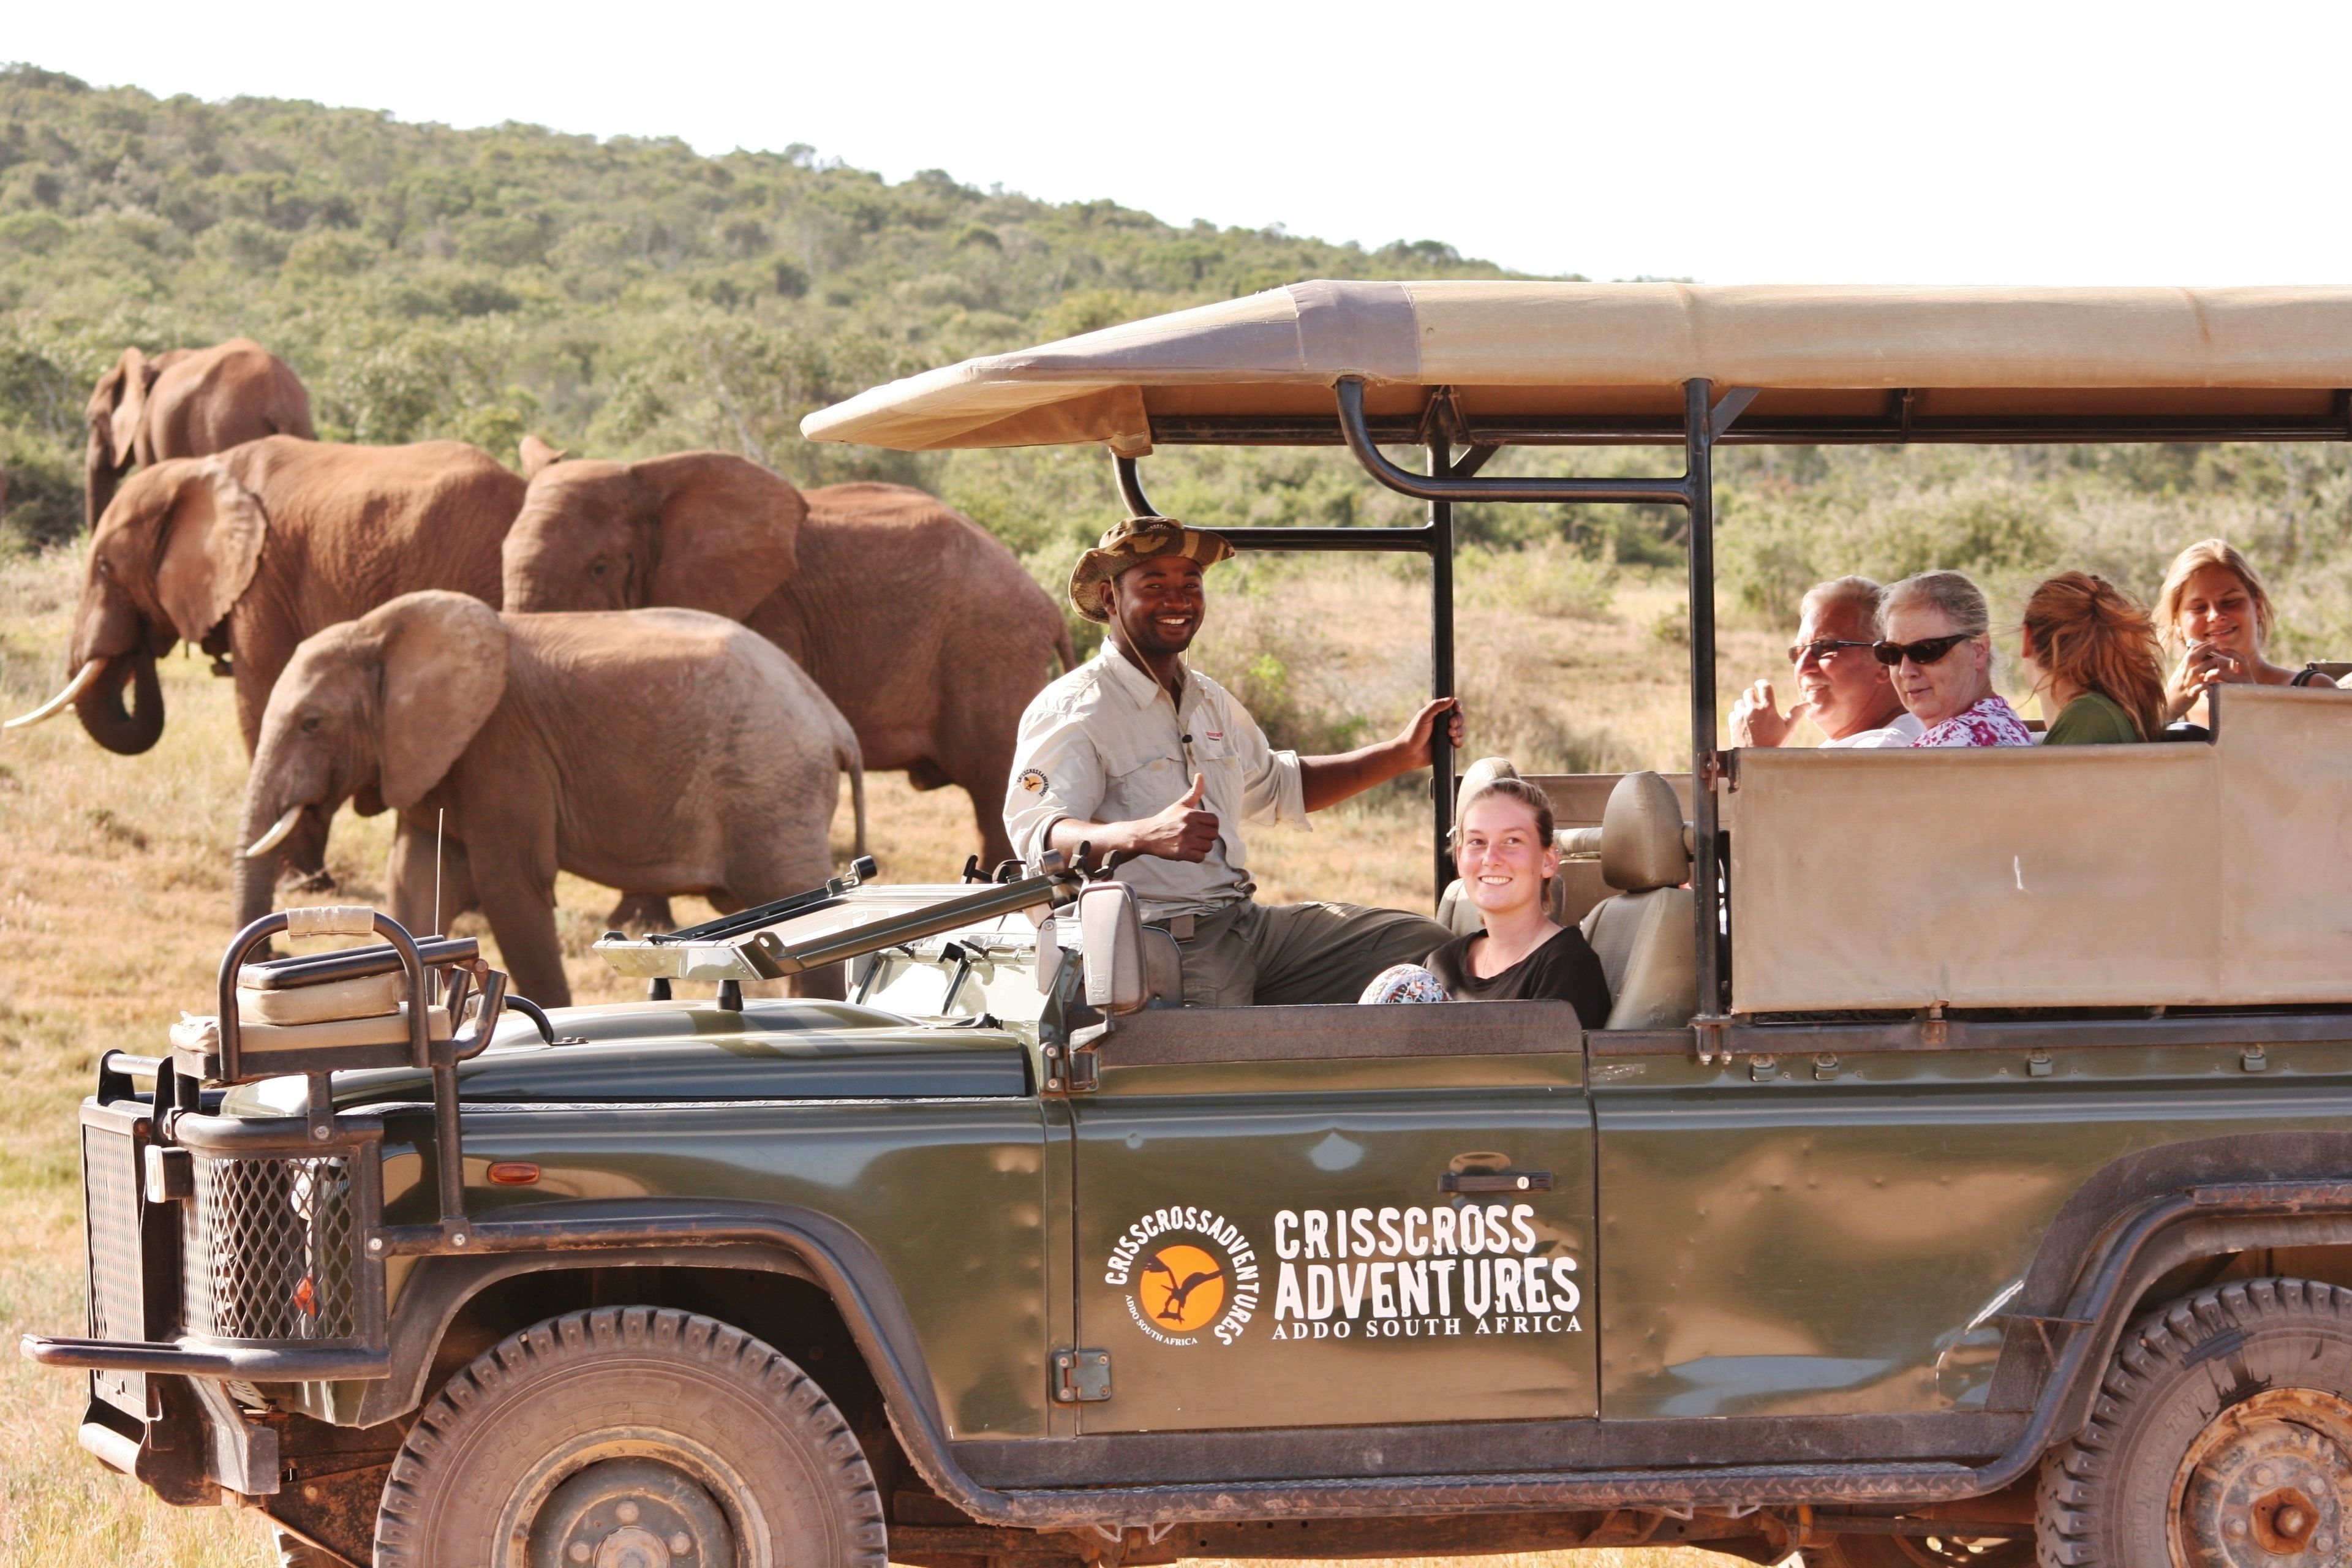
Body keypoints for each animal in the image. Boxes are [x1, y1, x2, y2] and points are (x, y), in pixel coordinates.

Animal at [236, 591, 867, 1008]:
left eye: (312, 724)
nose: (279, 959)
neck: (381, 630)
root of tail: (836, 721)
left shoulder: (504, 750)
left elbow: (511, 886)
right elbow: (412, 883)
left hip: (770, 786)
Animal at [500, 450, 1073, 872]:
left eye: (598, 567)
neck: (651, 473)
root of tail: (1050, 607)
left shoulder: (769, 611)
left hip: (990, 649)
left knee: (992, 784)